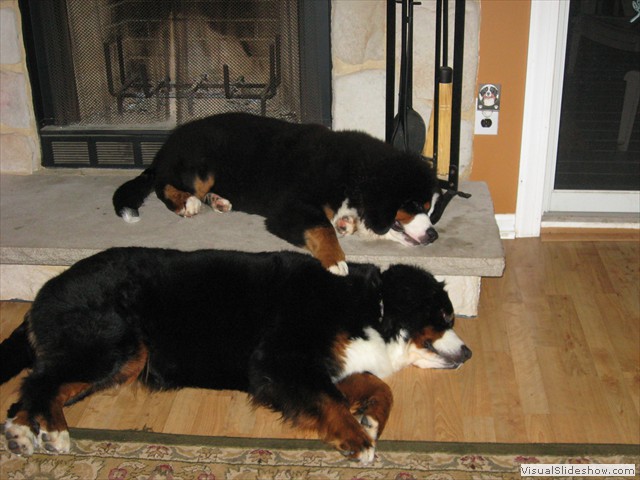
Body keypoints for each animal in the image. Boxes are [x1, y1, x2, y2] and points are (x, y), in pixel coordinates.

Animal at [0, 248, 470, 462]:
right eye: (445, 317)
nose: (467, 351)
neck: (372, 307)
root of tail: (44, 291)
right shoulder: (279, 360)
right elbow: (331, 401)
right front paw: (357, 439)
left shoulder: (329, 363)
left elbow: (376, 387)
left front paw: (370, 418)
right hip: (113, 346)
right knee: (39, 383)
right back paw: (54, 433)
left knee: (34, 390)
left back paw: (23, 432)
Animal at [112, 113, 440, 276]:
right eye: (414, 204)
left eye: (429, 206)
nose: (433, 234)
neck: (354, 175)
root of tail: (167, 144)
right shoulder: (290, 208)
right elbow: (321, 228)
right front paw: (336, 261)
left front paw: (346, 224)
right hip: (199, 168)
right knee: (163, 184)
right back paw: (186, 203)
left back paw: (218, 201)